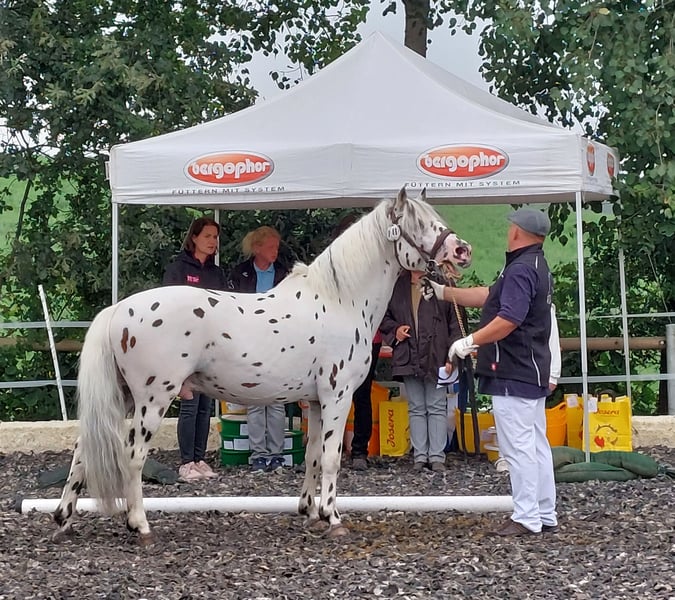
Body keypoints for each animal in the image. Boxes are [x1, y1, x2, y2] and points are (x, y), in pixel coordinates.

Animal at [53, 187, 472, 544]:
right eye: (420, 223)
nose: (463, 249)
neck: (340, 299)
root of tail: (119, 309)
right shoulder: (337, 397)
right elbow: (332, 458)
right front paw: (333, 518)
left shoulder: (316, 401)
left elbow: (314, 455)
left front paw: (310, 512)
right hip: (152, 400)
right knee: (133, 457)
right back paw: (139, 525)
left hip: (125, 397)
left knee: (82, 450)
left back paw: (63, 519)